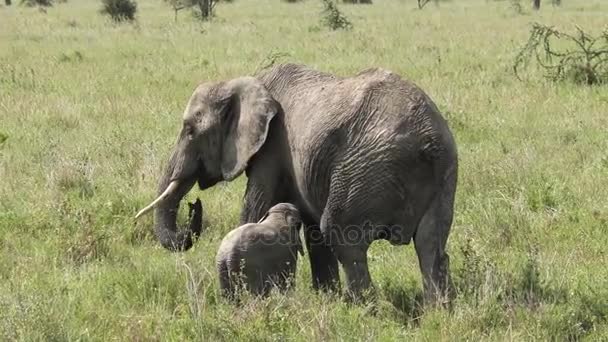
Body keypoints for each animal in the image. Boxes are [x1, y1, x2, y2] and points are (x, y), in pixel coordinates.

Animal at [133, 62, 456, 304]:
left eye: (189, 131)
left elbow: (258, 205)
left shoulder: (271, 146)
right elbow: (312, 231)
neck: (244, 83)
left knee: (343, 236)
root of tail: (427, 138)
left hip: (366, 167)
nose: (194, 206)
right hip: (443, 174)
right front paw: (325, 297)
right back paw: (437, 311)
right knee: (431, 245)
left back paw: (363, 309)